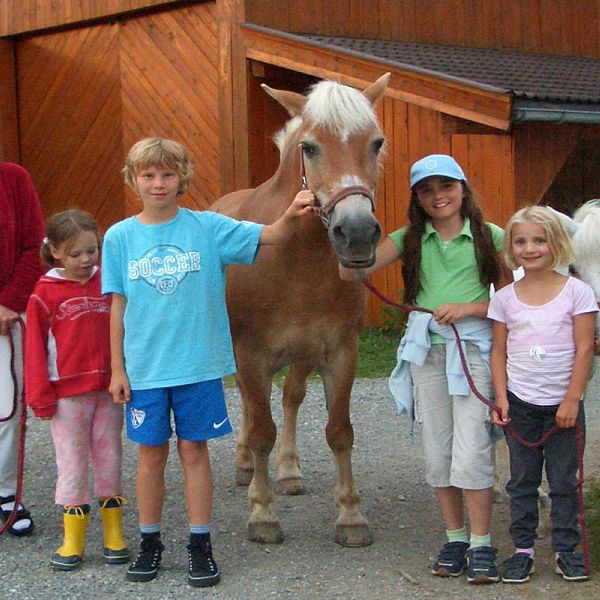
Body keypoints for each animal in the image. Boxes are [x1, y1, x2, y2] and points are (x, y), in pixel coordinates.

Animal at [211, 72, 390, 548]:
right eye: (309, 147)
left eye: (376, 143)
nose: (357, 233)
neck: (295, 257)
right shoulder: (250, 354)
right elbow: (261, 430)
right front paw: (262, 513)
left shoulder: (341, 352)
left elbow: (339, 431)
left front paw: (351, 516)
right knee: (250, 405)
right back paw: (245, 466)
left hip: (302, 354)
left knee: (291, 397)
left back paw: (288, 471)